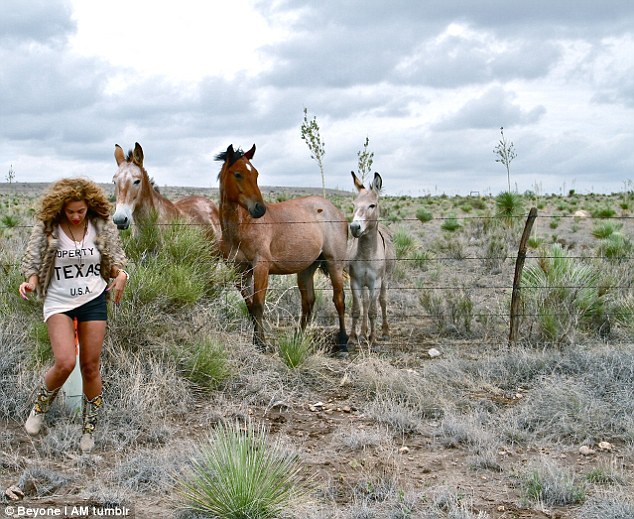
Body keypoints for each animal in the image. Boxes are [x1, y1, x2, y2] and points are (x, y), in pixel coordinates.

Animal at [215, 143, 348, 354]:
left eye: (256, 174)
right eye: (237, 174)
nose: (259, 209)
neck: (241, 228)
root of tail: (335, 211)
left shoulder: (261, 267)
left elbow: (258, 305)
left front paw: (262, 343)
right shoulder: (239, 271)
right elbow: (250, 306)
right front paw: (257, 341)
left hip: (334, 263)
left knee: (339, 299)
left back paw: (343, 343)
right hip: (306, 269)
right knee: (308, 302)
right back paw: (297, 340)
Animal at [348, 173, 392, 348]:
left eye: (372, 205)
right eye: (354, 205)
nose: (354, 227)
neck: (366, 253)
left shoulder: (376, 282)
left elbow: (374, 311)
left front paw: (373, 338)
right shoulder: (354, 281)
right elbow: (356, 309)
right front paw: (353, 337)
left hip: (385, 280)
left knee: (383, 301)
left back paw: (385, 331)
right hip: (364, 283)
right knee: (365, 303)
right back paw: (363, 331)